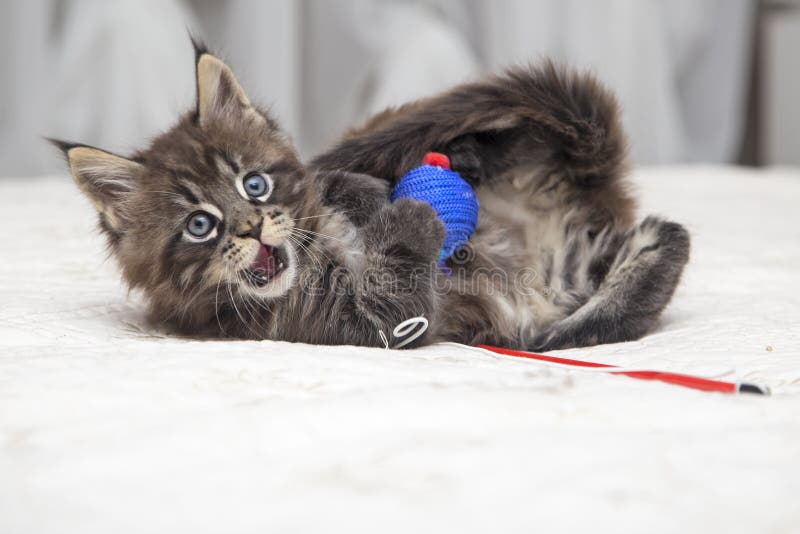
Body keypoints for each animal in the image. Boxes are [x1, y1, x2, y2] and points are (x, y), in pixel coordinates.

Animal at [50, 44, 692, 354]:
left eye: (253, 184)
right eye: (199, 226)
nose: (251, 228)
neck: (318, 254)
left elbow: (336, 187)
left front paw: (366, 193)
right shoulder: (368, 326)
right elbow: (396, 278)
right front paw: (412, 217)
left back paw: (463, 156)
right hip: (573, 269)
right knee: (663, 247)